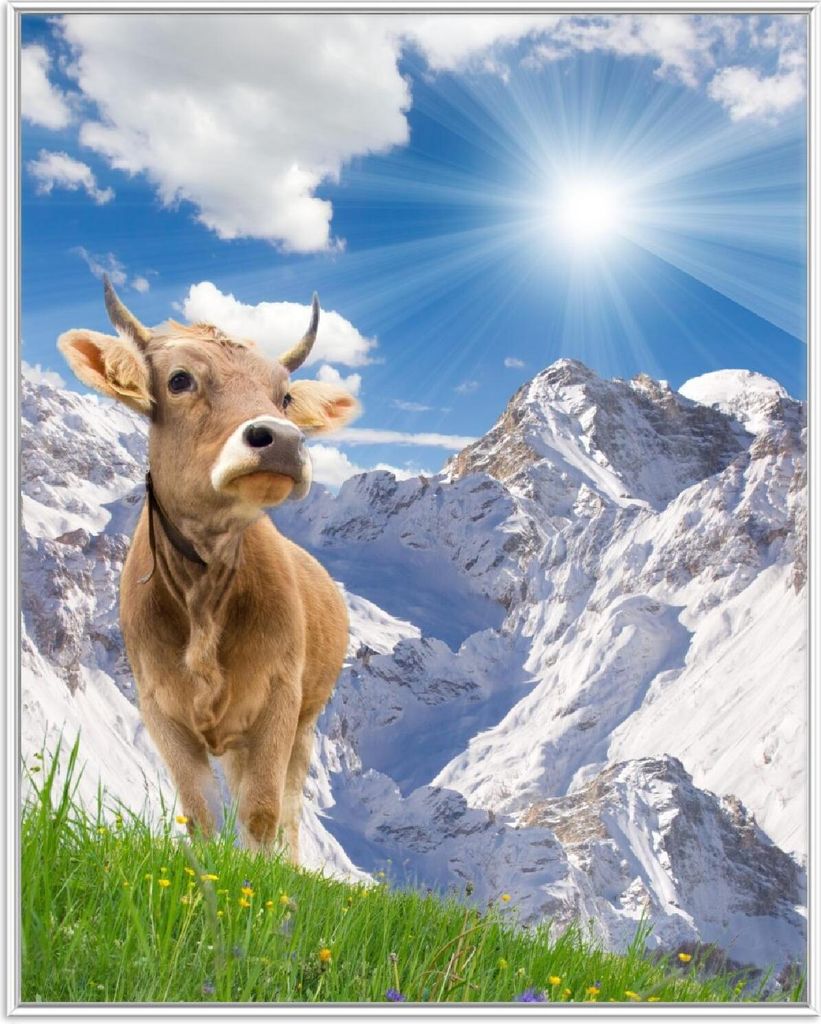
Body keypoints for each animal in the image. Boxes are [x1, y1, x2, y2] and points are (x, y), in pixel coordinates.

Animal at [57, 279, 359, 861]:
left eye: (284, 396)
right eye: (180, 379)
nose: (283, 439)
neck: (203, 595)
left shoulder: (279, 700)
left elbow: (262, 814)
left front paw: (262, 883)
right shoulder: (159, 709)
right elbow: (199, 815)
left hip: (305, 721)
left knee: (288, 808)